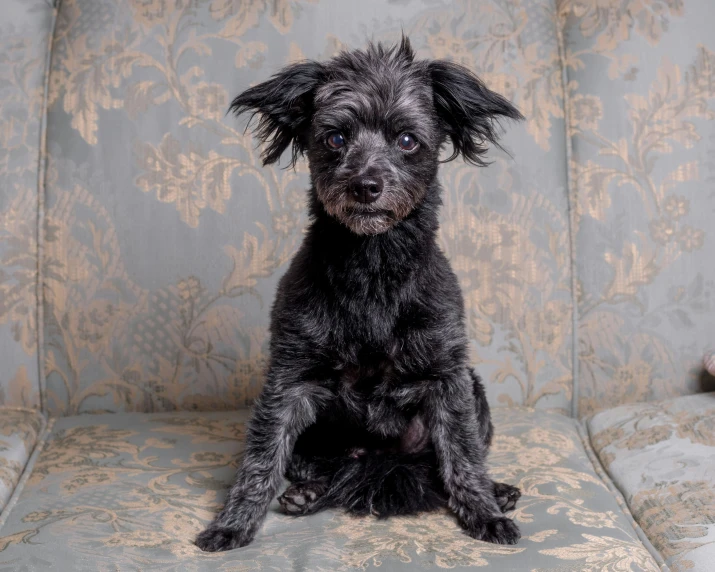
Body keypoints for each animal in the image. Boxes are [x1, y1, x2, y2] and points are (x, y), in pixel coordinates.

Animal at [196, 36, 524, 556]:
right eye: (335, 138)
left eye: (407, 140)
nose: (365, 185)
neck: (372, 268)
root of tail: (379, 461)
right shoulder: (289, 379)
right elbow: (260, 459)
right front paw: (232, 522)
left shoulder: (446, 376)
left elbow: (462, 455)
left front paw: (484, 512)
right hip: (316, 442)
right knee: (326, 468)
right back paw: (307, 493)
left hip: (474, 390)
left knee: (434, 463)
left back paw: (500, 491)